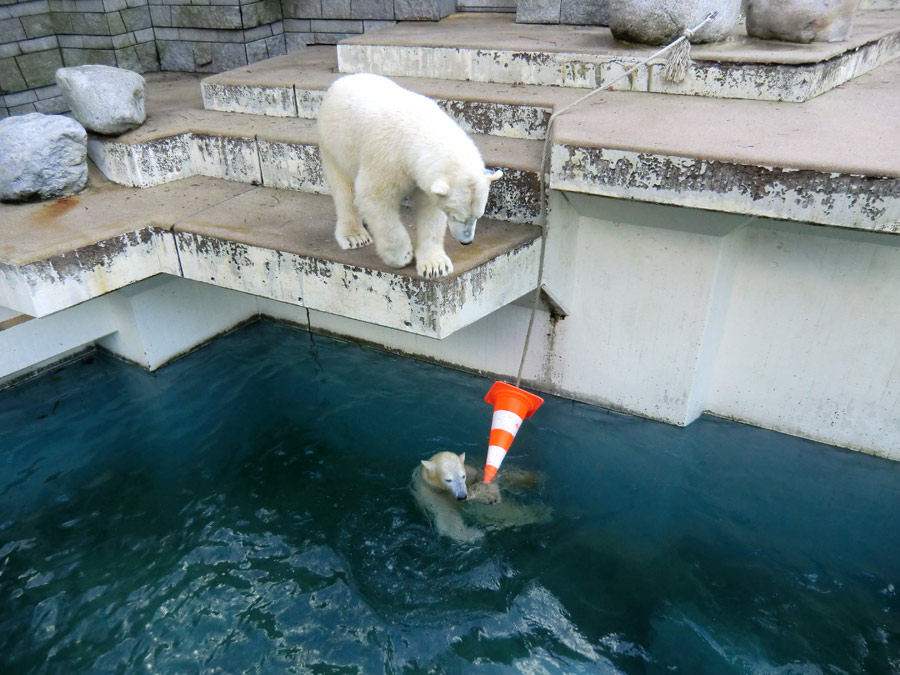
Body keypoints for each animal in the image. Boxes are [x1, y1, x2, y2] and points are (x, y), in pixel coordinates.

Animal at [316, 76, 502, 280]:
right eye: (455, 216)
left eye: (479, 215)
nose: (466, 242)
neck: (419, 129)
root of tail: (343, 79)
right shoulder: (386, 159)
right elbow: (374, 198)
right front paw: (402, 255)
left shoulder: (424, 179)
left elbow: (430, 211)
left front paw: (435, 266)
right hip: (335, 144)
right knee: (343, 189)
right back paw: (354, 236)